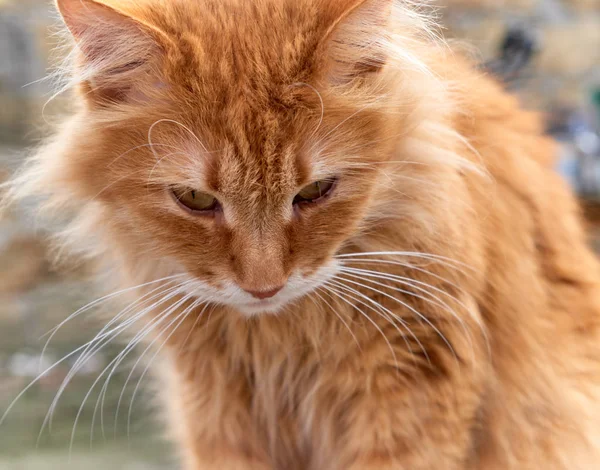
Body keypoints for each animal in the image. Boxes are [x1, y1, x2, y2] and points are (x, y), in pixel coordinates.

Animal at [4, 0, 600, 470]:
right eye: (195, 199)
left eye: (315, 191)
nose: (263, 286)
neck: (285, 336)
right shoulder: (216, 404)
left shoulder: (415, 375)